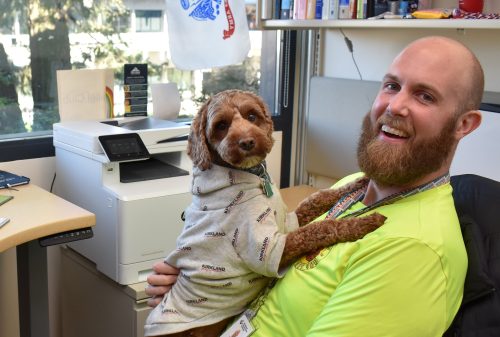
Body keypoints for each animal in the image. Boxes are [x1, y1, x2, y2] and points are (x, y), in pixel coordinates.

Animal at [146, 89, 384, 336]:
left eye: (252, 116)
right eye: (221, 125)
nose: (247, 142)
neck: (251, 177)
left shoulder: (289, 220)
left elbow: (316, 199)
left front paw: (359, 182)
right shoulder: (268, 249)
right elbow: (318, 229)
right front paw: (365, 222)